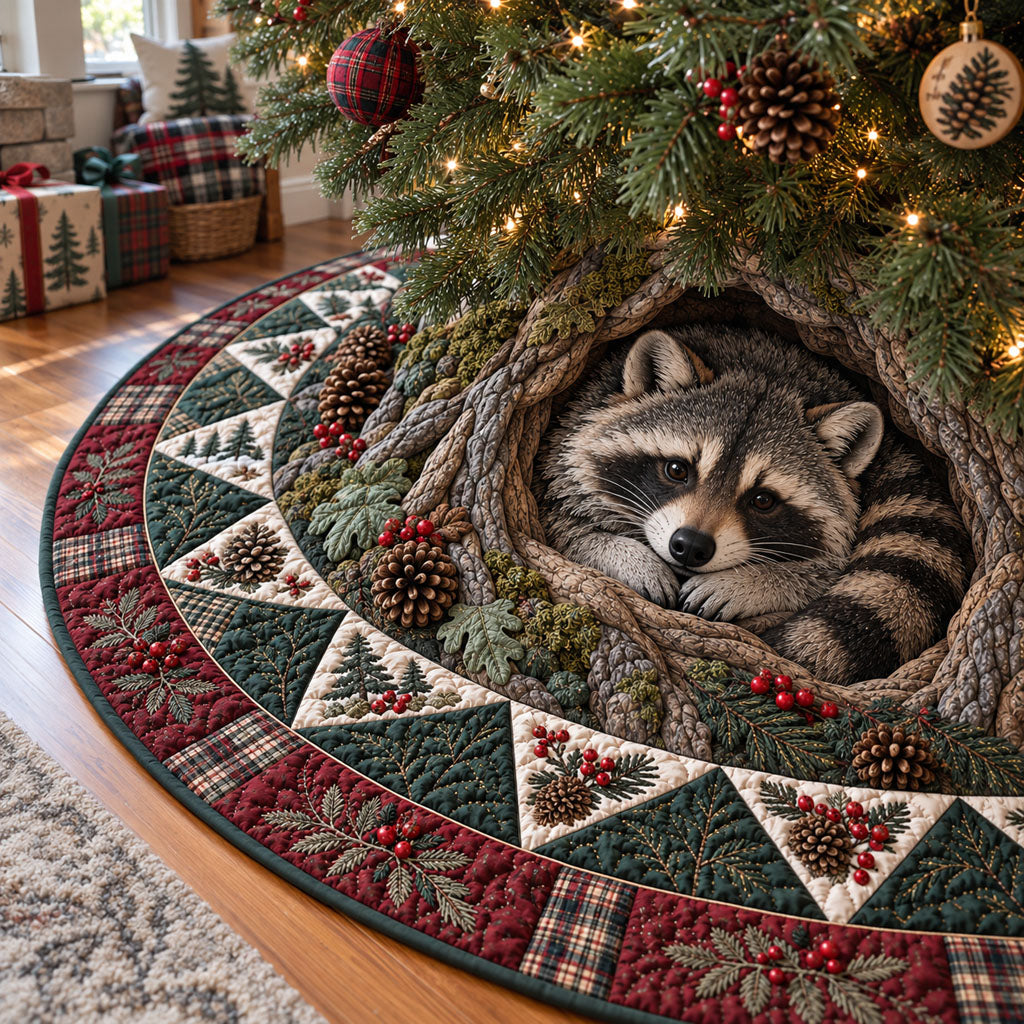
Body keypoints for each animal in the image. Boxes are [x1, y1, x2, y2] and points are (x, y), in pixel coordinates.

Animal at [534, 325, 972, 684]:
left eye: (762, 500)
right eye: (677, 469)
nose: (690, 546)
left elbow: (823, 572)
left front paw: (758, 583)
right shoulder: (563, 447)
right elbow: (562, 525)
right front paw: (624, 555)